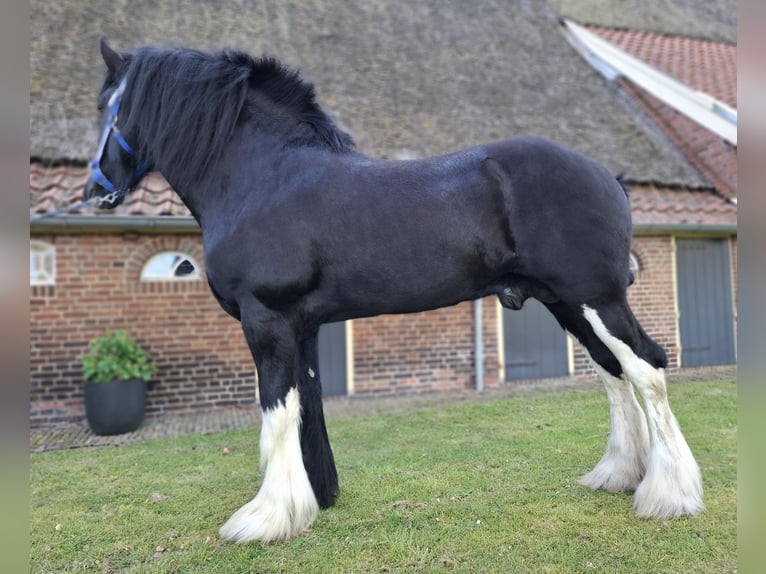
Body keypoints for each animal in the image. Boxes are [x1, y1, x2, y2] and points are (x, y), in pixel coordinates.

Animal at [85, 37, 704, 543]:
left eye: (107, 106)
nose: (96, 192)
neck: (264, 178)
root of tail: (609, 177)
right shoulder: (301, 328)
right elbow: (307, 406)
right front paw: (316, 500)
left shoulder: (268, 319)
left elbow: (277, 410)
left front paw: (266, 517)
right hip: (567, 303)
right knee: (613, 374)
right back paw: (616, 476)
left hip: (597, 299)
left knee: (646, 368)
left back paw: (669, 495)